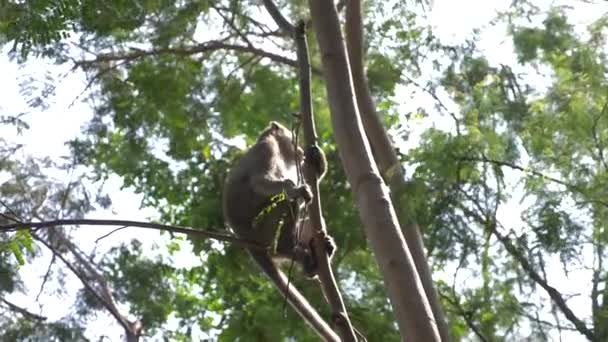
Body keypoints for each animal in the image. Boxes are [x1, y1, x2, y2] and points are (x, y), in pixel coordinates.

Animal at [223, 121, 338, 336]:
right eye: (292, 138)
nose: (300, 149)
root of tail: (243, 238)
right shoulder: (266, 150)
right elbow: (261, 182)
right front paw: (296, 189)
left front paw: (318, 161)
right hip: (264, 231)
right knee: (286, 203)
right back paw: (294, 249)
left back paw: (317, 251)